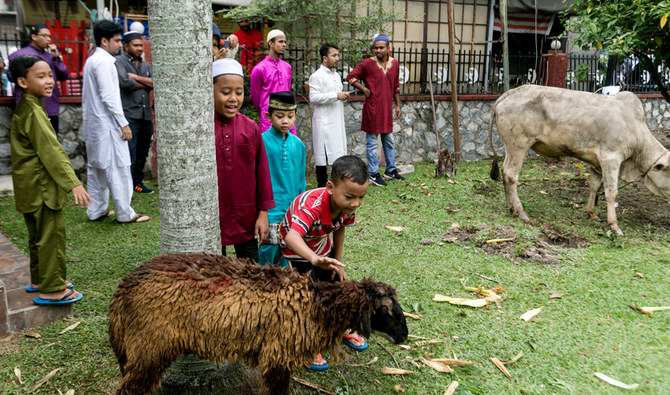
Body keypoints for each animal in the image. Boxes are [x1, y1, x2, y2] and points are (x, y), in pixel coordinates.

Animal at [109, 254, 410, 395]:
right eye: (389, 312)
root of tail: (123, 290)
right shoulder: (277, 355)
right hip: (149, 348)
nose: (405, 336)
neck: (317, 305)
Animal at [488, 84, 670, 235]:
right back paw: (520, 211)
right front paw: (614, 225)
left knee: (504, 171)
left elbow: (594, 187)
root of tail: (510, 93)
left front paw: (592, 213)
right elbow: (611, 192)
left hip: (511, 147)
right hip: (519, 144)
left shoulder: (597, 163)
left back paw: (510, 206)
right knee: (511, 174)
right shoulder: (611, 159)